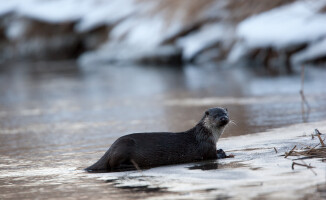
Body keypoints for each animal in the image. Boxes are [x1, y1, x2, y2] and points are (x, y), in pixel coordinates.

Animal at [85, 107, 230, 173]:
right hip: (124, 147)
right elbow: (212, 156)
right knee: (114, 165)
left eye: (225, 113)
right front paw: (222, 153)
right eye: (216, 115)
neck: (206, 134)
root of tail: (110, 149)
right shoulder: (207, 146)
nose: (224, 118)